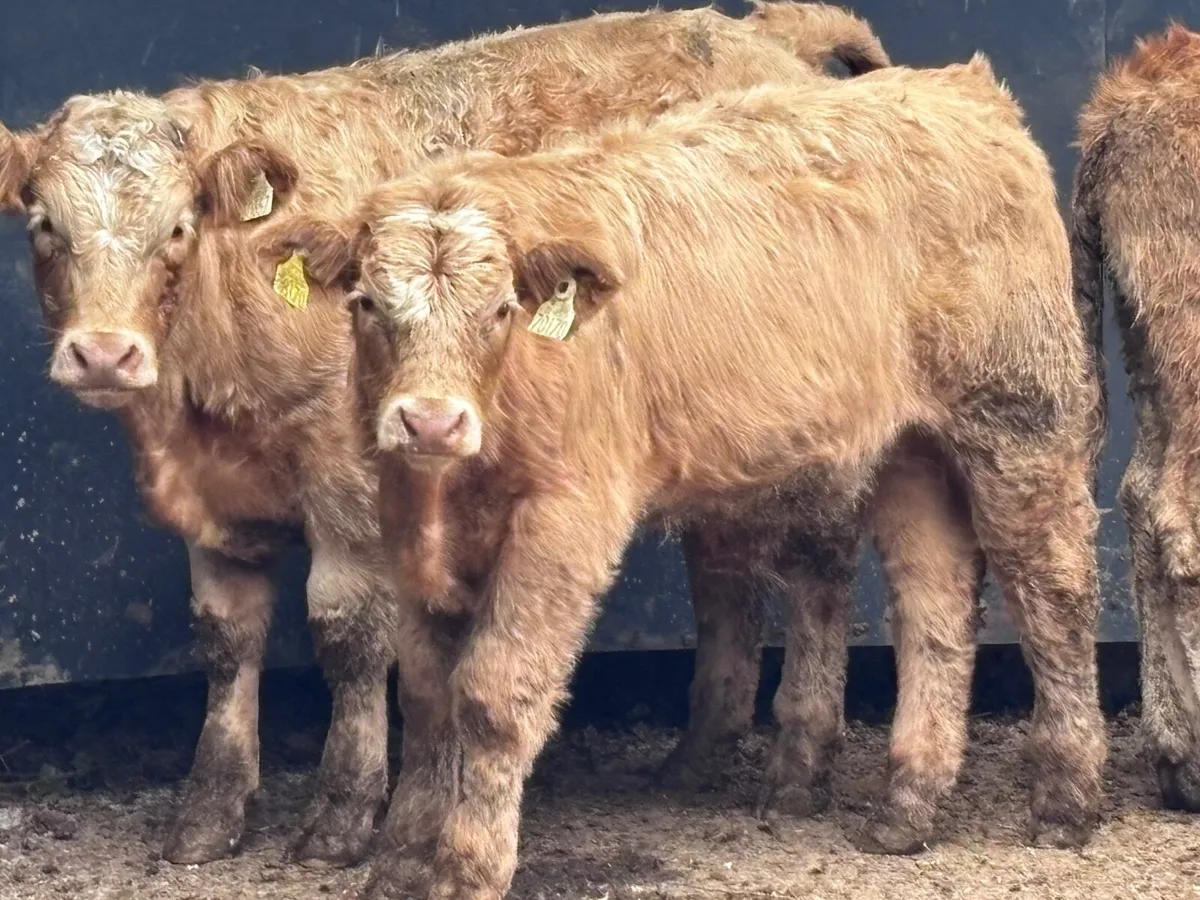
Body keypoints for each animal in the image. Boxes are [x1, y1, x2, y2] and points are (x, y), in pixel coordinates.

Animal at [0, 1, 892, 868]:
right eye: (43, 224)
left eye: (180, 227)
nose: (104, 352)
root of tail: (765, 40)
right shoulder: (218, 500)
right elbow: (225, 641)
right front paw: (209, 814)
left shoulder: (350, 483)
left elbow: (349, 636)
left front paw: (344, 813)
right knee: (722, 564)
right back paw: (697, 754)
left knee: (819, 568)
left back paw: (799, 763)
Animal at [277, 56, 1107, 899]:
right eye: (366, 302)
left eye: (503, 308)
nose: (432, 421)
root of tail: (959, 87)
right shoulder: (406, 521)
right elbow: (425, 696)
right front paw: (401, 858)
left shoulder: (565, 519)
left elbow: (491, 693)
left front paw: (466, 866)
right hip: (909, 451)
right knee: (934, 606)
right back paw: (908, 803)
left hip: (1019, 417)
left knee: (1054, 590)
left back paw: (1066, 799)